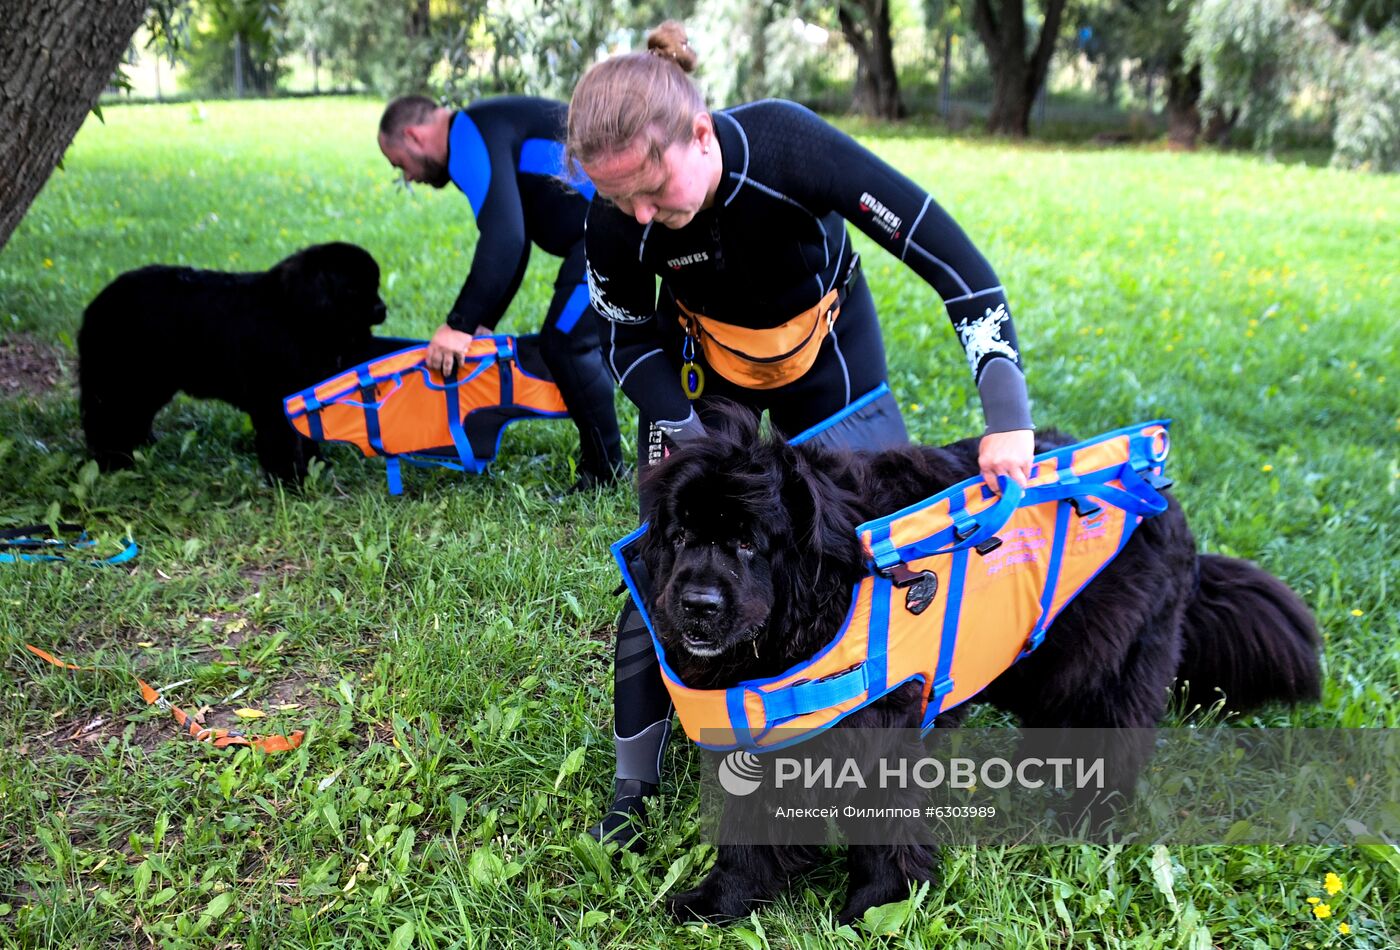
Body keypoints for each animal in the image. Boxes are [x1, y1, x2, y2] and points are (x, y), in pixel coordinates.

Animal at [80, 244, 400, 484]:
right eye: (354, 291)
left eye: (376, 286)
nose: (382, 308)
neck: (294, 314)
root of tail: (98, 302)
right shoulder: (273, 401)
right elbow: (283, 441)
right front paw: (290, 480)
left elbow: (304, 437)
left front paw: (315, 466)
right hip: (122, 380)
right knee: (106, 419)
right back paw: (113, 461)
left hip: (151, 383)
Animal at [638, 408, 1321, 929]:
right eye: (679, 536)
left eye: (748, 542)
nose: (696, 603)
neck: (828, 594)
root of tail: (1163, 494)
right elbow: (748, 830)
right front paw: (719, 901)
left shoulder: (890, 731)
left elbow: (883, 829)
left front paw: (877, 908)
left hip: (1105, 666)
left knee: (1112, 741)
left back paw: (1086, 824)